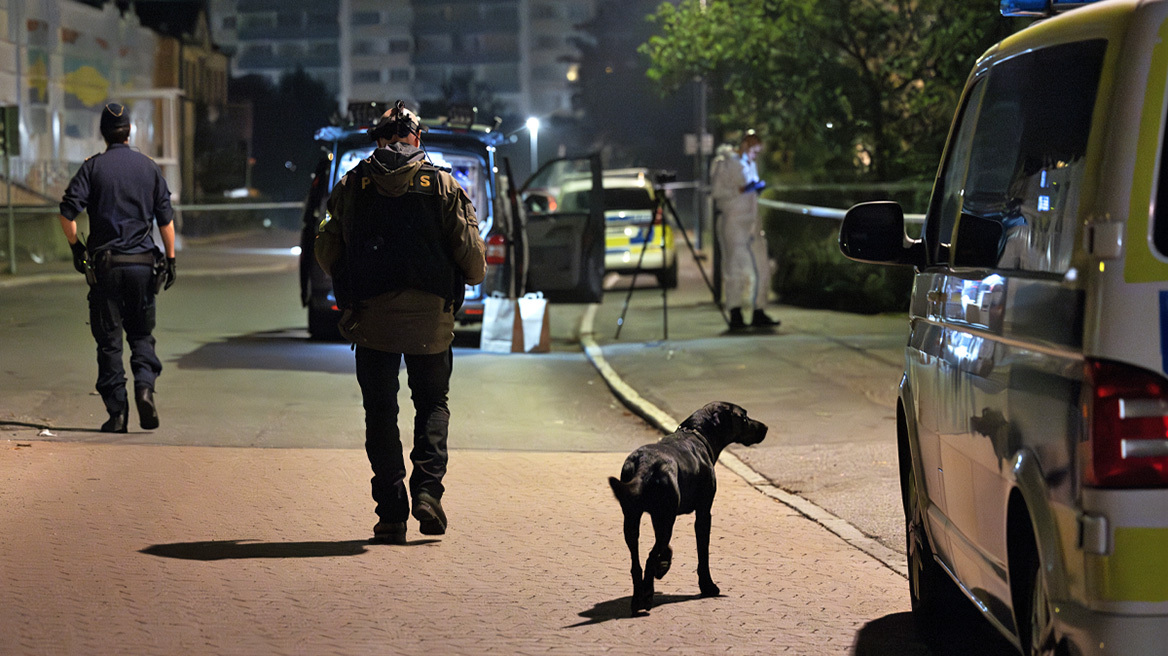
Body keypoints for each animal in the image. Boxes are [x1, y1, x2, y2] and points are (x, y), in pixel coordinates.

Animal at [607, 399, 770, 611]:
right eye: (744, 417)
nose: (765, 427)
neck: (697, 433)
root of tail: (644, 464)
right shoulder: (703, 513)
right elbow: (703, 554)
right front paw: (708, 586)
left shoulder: (657, 517)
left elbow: (665, 548)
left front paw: (664, 564)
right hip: (664, 517)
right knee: (650, 556)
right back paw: (647, 596)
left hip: (633, 519)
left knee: (638, 562)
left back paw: (638, 598)